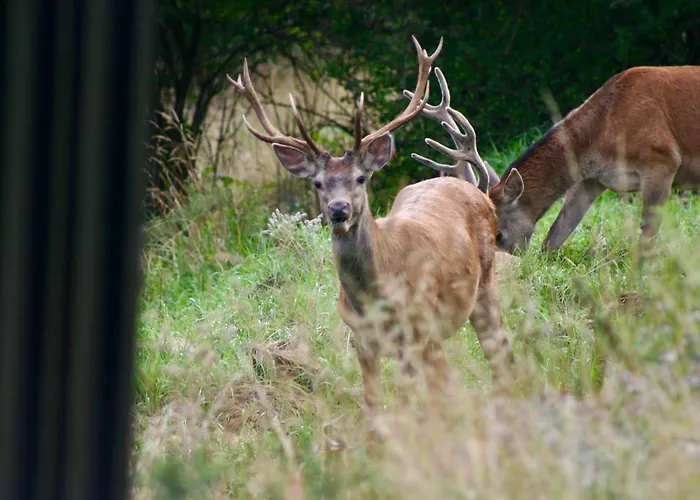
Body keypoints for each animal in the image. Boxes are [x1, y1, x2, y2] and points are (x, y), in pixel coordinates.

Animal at [227, 37, 514, 421]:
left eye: (361, 178)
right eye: (318, 183)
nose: (338, 210)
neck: (376, 294)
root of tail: (476, 191)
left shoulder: (417, 330)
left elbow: (413, 400)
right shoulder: (362, 340)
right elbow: (374, 403)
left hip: (483, 285)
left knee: (497, 351)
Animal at [410, 66, 700, 255]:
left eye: (498, 234)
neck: (608, 125)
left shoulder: (662, 160)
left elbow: (646, 239)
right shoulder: (592, 180)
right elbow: (553, 238)